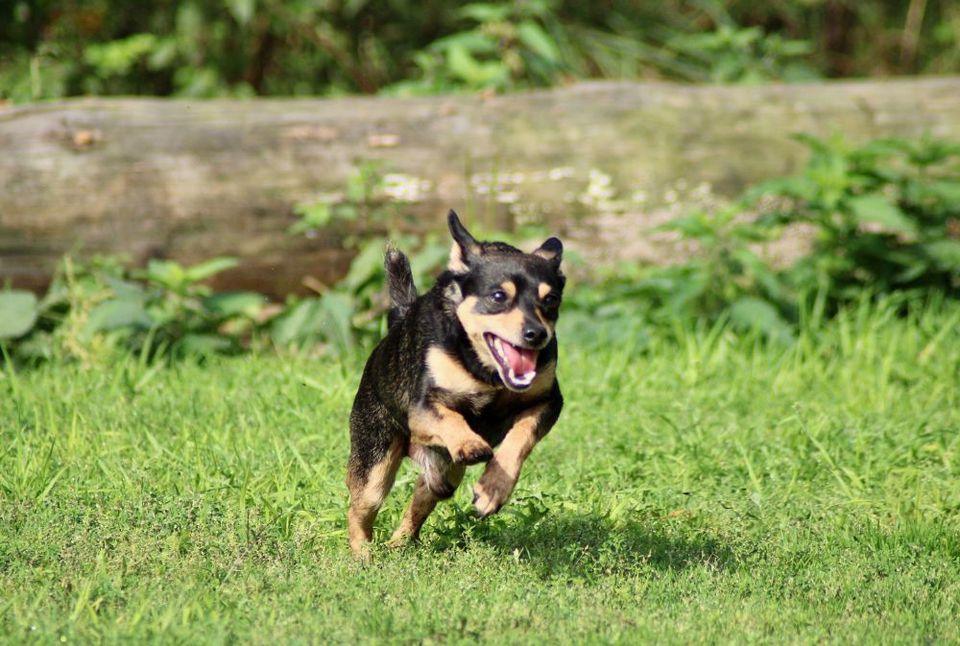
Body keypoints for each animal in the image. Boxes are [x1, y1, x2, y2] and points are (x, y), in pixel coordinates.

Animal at [344, 211, 564, 556]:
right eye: (498, 296)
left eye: (551, 299)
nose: (536, 334)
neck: (487, 372)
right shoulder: (423, 407)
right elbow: (451, 418)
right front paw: (470, 443)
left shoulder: (548, 402)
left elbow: (520, 438)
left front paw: (493, 489)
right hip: (374, 464)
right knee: (359, 509)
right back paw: (363, 555)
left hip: (444, 475)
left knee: (422, 498)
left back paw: (399, 543)